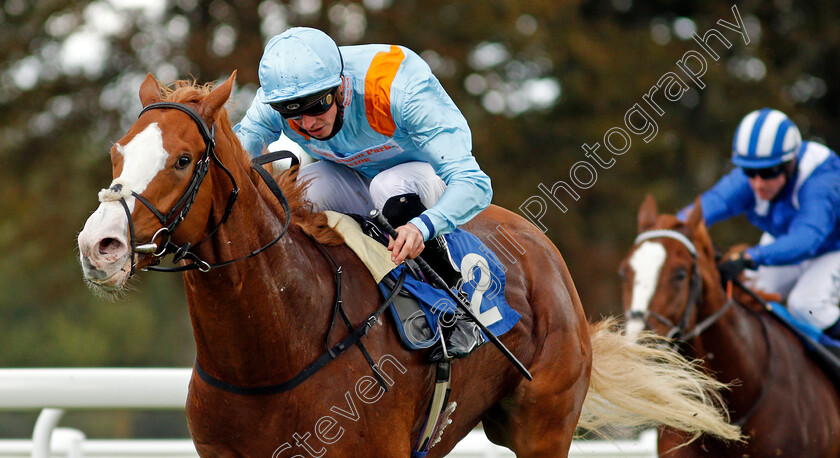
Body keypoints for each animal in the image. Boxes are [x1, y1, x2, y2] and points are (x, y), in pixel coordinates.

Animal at [75, 73, 740, 456]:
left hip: (544, 425)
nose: (100, 245)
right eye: (118, 151)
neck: (274, 351)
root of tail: (540, 246)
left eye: (183, 159)